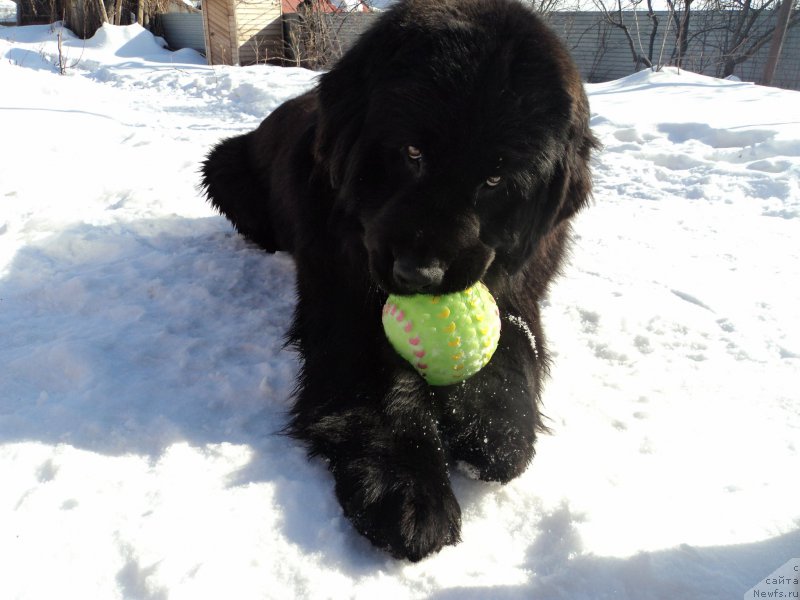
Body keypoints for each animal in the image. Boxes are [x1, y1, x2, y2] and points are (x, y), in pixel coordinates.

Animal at [203, 0, 596, 564]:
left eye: (495, 180)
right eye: (412, 154)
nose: (420, 273)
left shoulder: (519, 285)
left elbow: (514, 348)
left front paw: (494, 429)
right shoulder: (345, 297)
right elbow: (378, 382)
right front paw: (406, 488)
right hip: (223, 166)